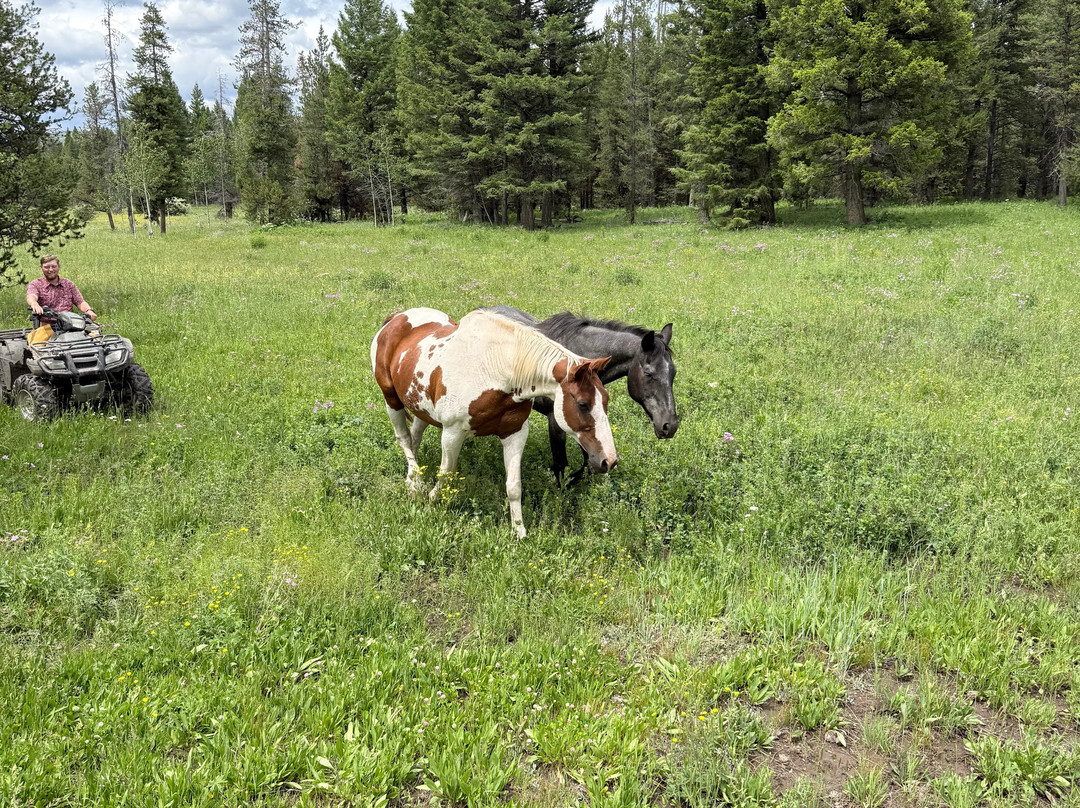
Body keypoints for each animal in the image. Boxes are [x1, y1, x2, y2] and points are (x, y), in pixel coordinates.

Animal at [370, 307, 619, 538]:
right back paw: (416, 483)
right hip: (391, 399)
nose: (610, 460)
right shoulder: (452, 433)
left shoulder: (515, 434)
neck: (494, 371)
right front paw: (432, 500)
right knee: (404, 439)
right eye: (583, 404)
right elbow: (447, 472)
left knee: (415, 436)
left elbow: (514, 486)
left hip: (421, 408)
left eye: (605, 399)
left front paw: (519, 531)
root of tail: (396, 318)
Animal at [485, 307, 678, 484]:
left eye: (673, 373)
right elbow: (561, 466)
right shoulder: (556, 422)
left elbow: (587, 464)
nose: (670, 426)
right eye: (648, 373)